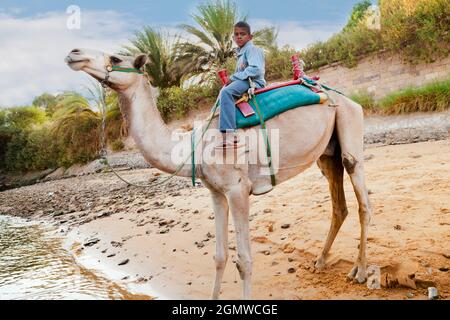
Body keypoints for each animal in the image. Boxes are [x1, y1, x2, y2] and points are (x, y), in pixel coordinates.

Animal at [65, 48, 370, 300]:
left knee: (362, 199)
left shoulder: (238, 190)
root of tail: (342, 97)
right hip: (327, 153)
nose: (74, 53)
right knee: (339, 204)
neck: (194, 145)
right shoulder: (216, 193)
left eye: (116, 58)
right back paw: (320, 261)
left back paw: (360, 272)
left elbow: (244, 261)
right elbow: (220, 256)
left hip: (348, 122)